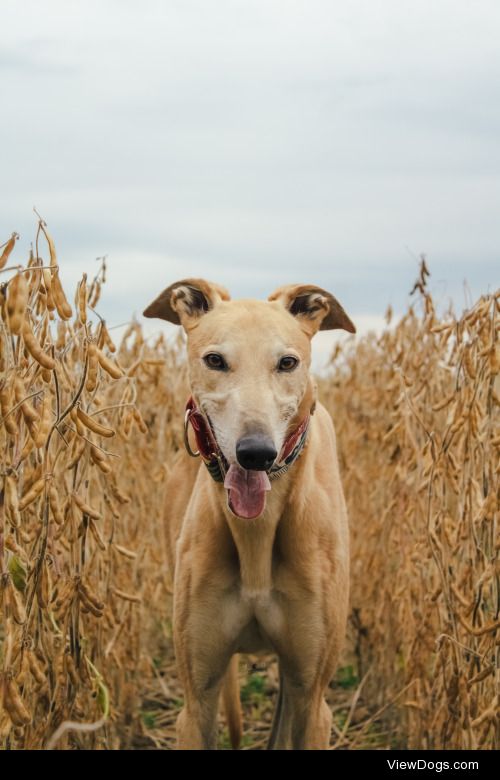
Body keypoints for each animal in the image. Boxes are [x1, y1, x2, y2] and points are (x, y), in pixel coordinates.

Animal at [143, 280, 356, 748]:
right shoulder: (196, 703)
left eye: (287, 362)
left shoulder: (314, 701)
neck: (256, 533)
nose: (256, 453)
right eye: (215, 360)